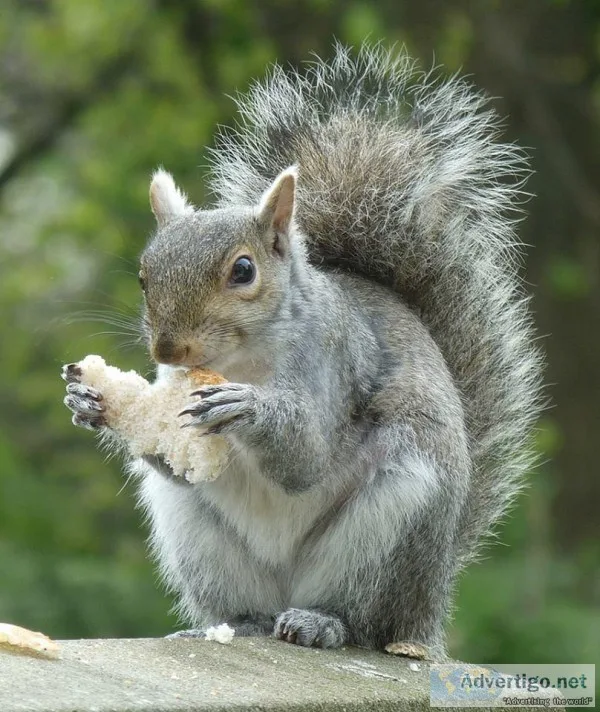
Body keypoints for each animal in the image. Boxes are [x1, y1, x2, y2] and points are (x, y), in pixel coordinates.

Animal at [62, 45, 542, 658]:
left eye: (243, 271)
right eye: (144, 276)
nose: (168, 346)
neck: (245, 357)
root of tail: (426, 613)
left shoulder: (333, 360)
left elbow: (307, 456)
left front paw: (246, 408)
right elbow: (174, 459)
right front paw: (90, 402)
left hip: (393, 524)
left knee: (363, 620)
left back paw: (323, 623)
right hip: (200, 538)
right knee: (249, 602)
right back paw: (237, 623)